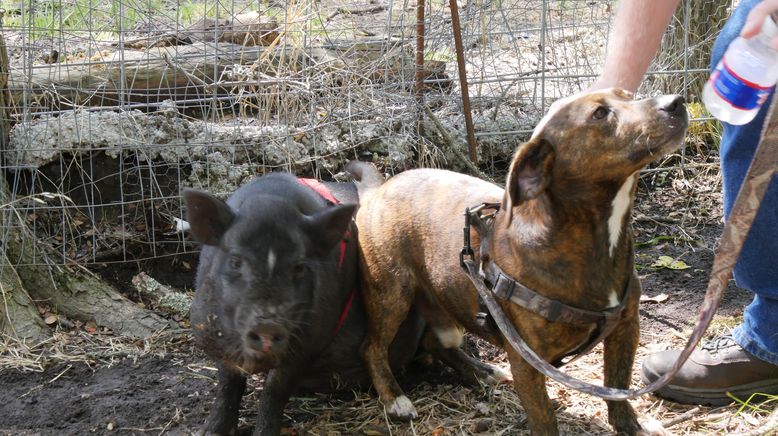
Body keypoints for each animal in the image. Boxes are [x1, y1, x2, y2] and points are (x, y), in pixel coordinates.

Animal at [183, 174, 422, 436]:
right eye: (235, 261)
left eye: (298, 267)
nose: (268, 325)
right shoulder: (213, 332)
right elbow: (228, 383)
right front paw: (210, 432)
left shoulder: (309, 339)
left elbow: (274, 391)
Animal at [346, 87, 684, 432]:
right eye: (599, 114)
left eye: (628, 94)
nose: (676, 102)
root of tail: (378, 190)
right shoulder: (527, 361)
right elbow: (545, 418)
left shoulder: (625, 327)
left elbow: (617, 386)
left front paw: (631, 426)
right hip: (391, 296)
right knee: (371, 347)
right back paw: (395, 399)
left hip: (445, 308)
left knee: (432, 342)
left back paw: (480, 371)